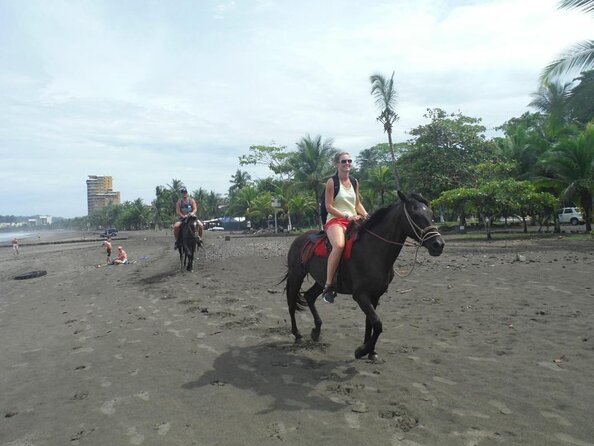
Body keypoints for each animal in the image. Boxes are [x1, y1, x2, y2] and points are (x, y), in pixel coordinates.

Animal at [284, 190, 444, 360]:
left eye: (431, 213)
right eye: (414, 214)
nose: (438, 244)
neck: (373, 250)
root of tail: (300, 238)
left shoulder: (375, 295)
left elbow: (371, 323)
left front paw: (370, 351)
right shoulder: (360, 295)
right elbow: (378, 324)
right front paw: (362, 350)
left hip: (321, 281)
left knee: (309, 296)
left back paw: (316, 330)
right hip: (296, 276)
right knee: (291, 302)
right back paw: (297, 334)